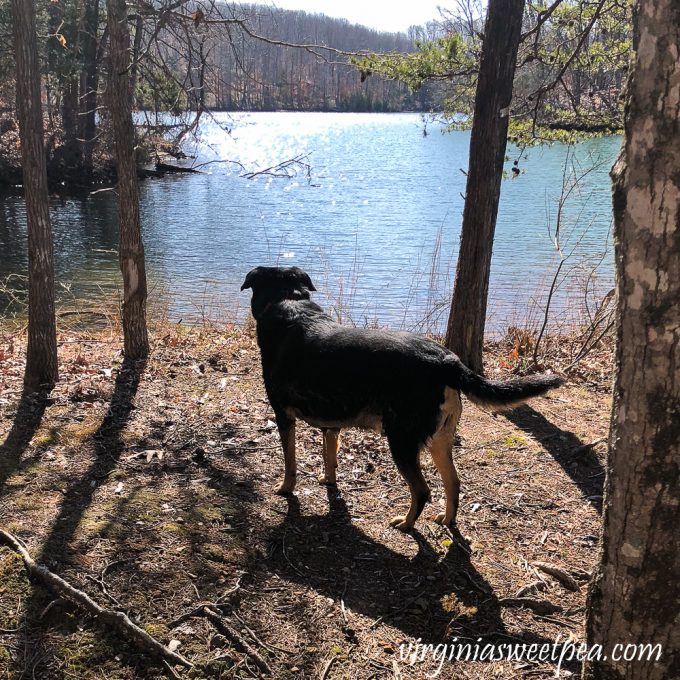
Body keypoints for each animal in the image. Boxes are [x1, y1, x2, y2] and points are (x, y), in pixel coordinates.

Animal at [240, 266, 564, 532]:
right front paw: (328, 480)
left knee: (422, 491)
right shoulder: (331, 422)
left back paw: (407, 524)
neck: (289, 302)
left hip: (402, 440)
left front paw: (285, 487)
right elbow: (329, 455)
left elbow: (290, 461)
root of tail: (447, 361)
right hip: (440, 439)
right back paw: (447, 519)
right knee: (453, 482)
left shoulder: (283, 415)